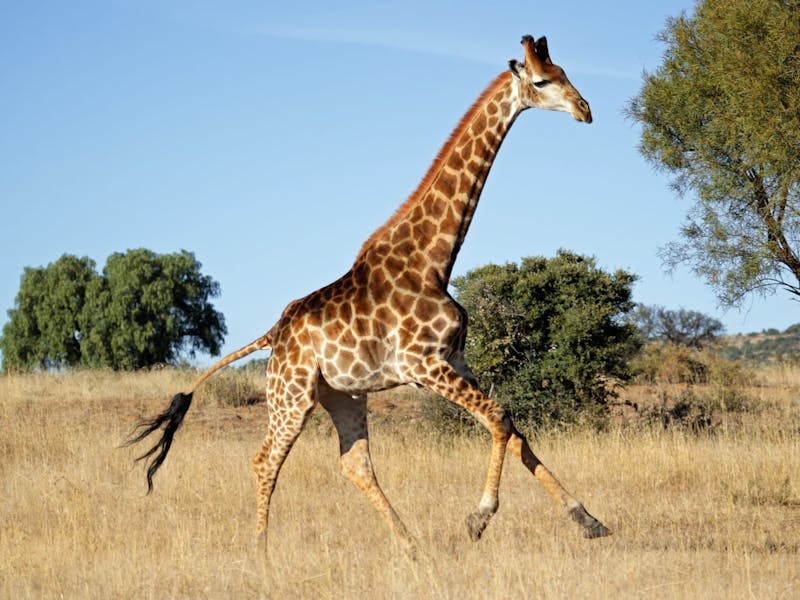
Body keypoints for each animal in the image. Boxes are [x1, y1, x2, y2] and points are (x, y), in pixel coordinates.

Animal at [127, 34, 610, 552]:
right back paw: (262, 550)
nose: (585, 110)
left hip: (343, 395)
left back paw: (410, 545)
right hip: (290, 396)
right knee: (265, 460)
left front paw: (589, 520)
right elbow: (500, 419)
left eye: (563, 72)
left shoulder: (455, 360)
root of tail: (273, 334)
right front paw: (478, 518)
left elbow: (515, 430)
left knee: (354, 463)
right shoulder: (423, 364)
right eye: (541, 81)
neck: (433, 261)